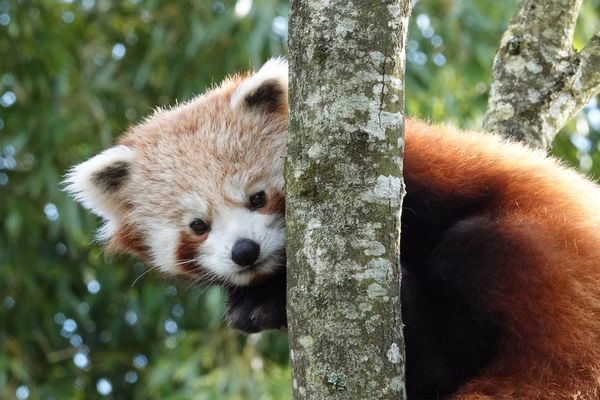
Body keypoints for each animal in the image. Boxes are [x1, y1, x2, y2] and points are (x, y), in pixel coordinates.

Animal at [65, 57, 600, 398]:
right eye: (198, 225)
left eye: (257, 197)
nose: (244, 250)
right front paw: (255, 305)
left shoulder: (419, 181)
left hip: (549, 262)